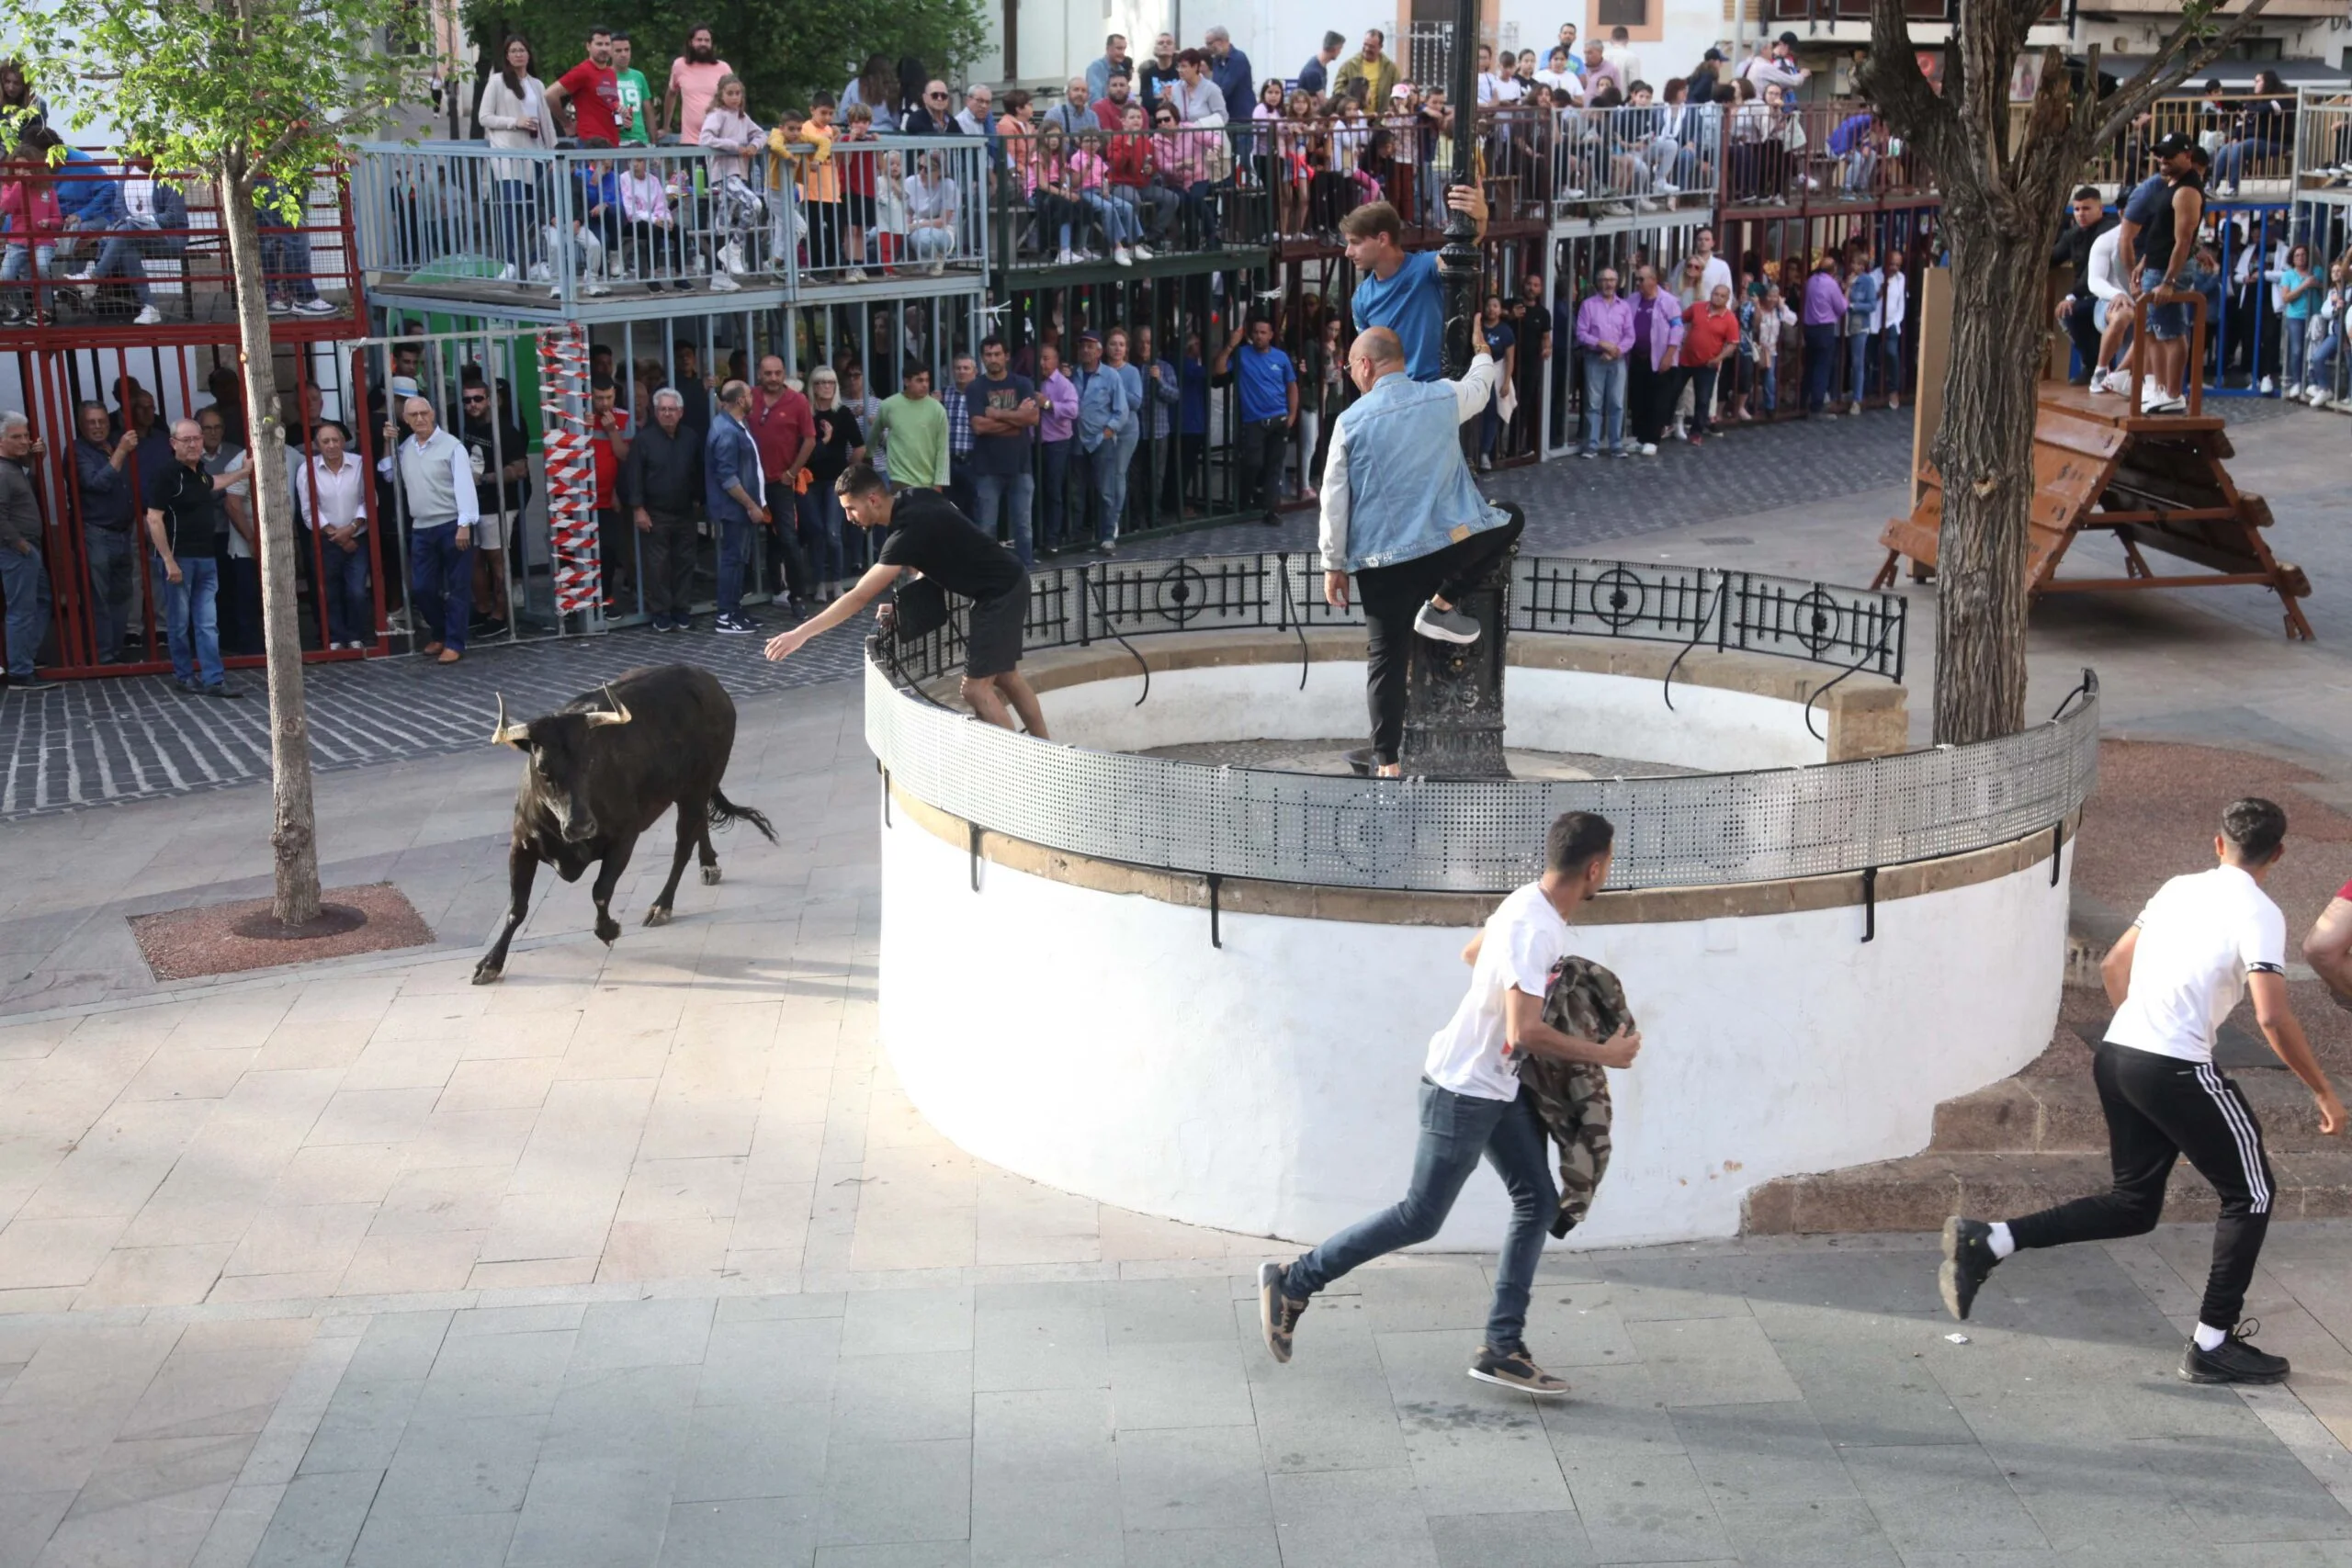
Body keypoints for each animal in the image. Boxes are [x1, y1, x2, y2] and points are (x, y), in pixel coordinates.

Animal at [472, 667, 775, 987]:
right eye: (543, 768)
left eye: (591, 761)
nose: (581, 826)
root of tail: (705, 678)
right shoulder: (521, 845)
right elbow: (516, 908)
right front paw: (490, 963)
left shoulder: (624, 838)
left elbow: (600, 890)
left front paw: (609, 930)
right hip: (692, 792)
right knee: (699, 824)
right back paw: (708, 865)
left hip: (697, 786)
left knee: (682, 847)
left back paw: (662, 905)